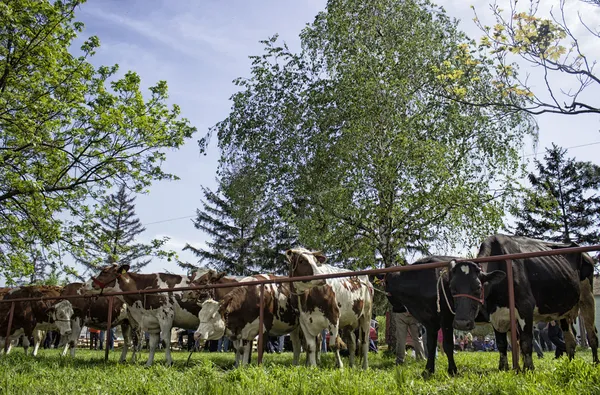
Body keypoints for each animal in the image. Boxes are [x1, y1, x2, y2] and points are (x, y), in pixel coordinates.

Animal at [450, 235, 596, 372]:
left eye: (479, 287)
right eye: (452, 288)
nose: (462, 323)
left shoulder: (525, 307)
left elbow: (525, 341)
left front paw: (528, 369)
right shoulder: (495, 314)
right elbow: (502, 343)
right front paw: (504, 368)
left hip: (587, 298)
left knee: (591, 334)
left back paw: (595, 363)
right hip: (564, 310)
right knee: (570, 339)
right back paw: (570, 364)